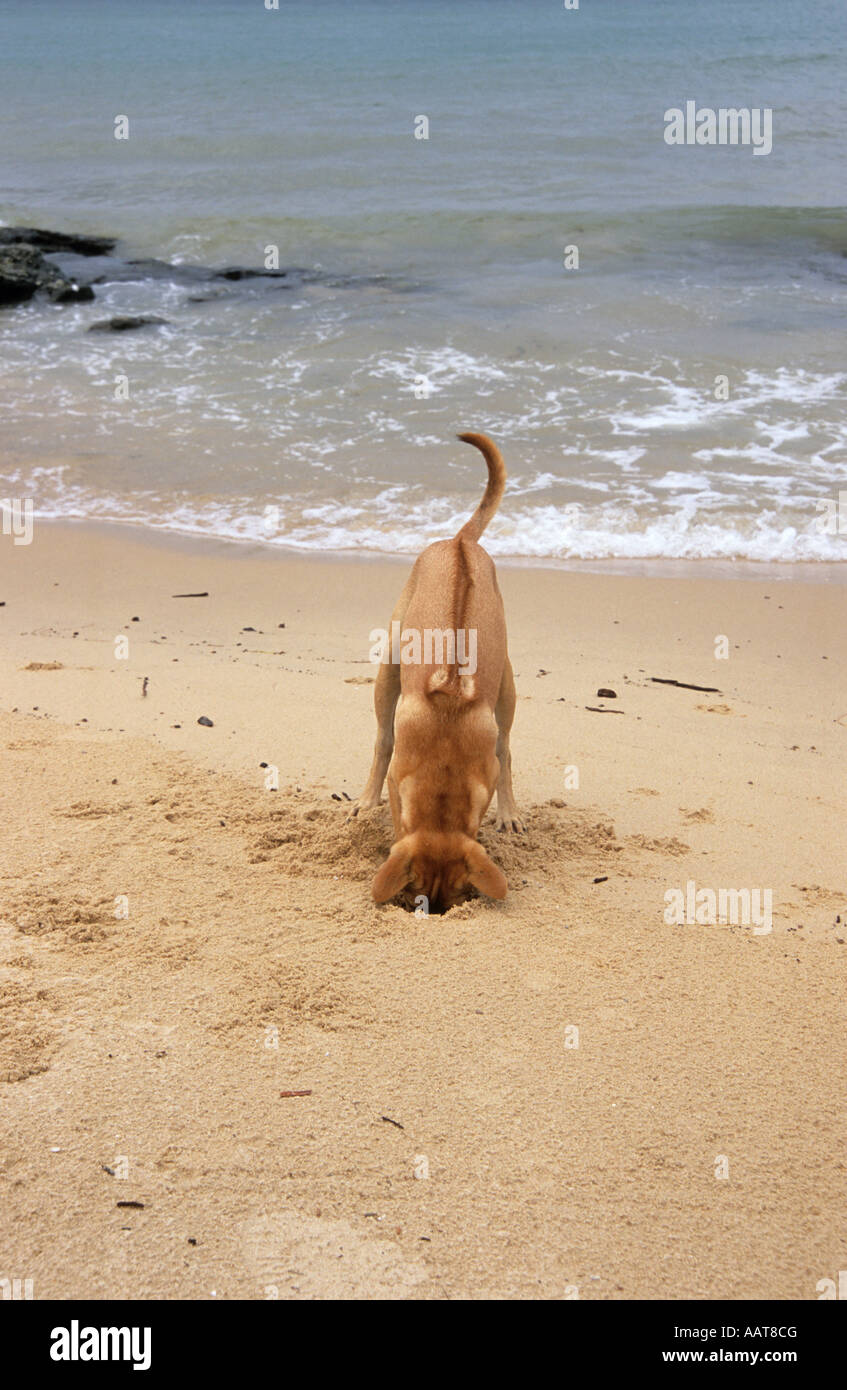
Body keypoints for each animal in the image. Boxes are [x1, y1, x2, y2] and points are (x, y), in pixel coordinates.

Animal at [351, 433, 522, 911]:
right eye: (416, 891)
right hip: (389, 667)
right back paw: (366, 800)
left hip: (507, 686)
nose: (440, 910)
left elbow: (498, 763)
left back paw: (510, 812)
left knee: (507, 747)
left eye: (458, 891)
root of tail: (459, 541)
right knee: (382, 740)